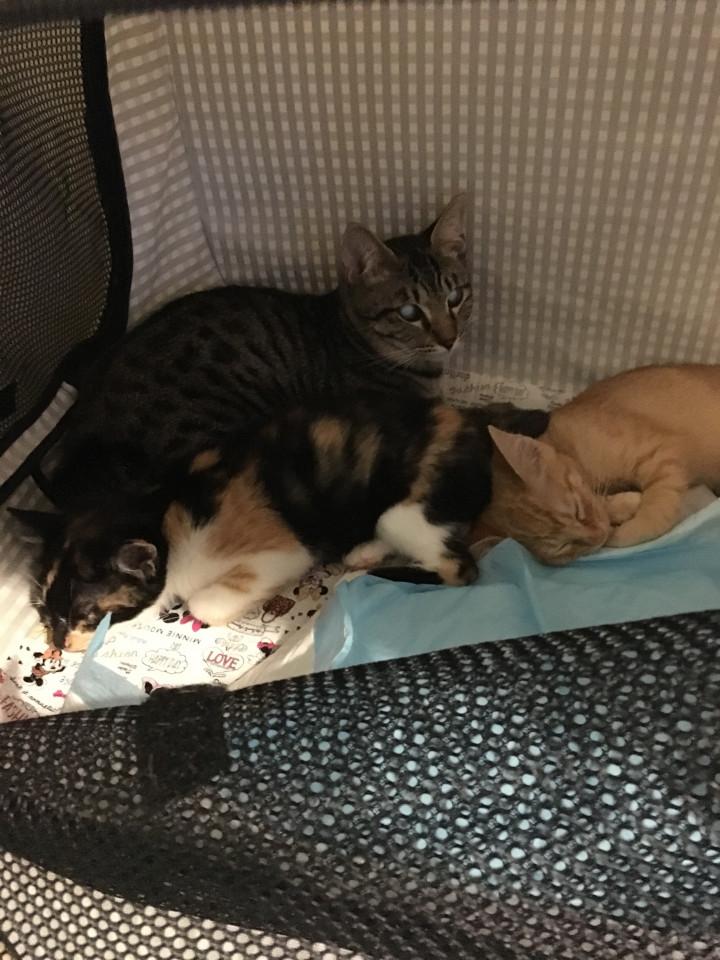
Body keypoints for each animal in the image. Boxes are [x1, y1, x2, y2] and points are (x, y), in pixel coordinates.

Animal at [17, 400, 549, 651]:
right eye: (45, 613)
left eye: (86, 615)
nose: (59, 645)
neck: (162, 511)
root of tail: (475, 428)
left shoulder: (280, 550)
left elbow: (207, 601)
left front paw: (197, 606)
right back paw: (364, 553)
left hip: (405, 509)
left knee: (460, 569)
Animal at [475, 364, 720, 564]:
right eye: (564, 547)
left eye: (577, 511)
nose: (598, 537)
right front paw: (620, 508)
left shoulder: (658, 454)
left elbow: (656, 511)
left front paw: (623, 533)